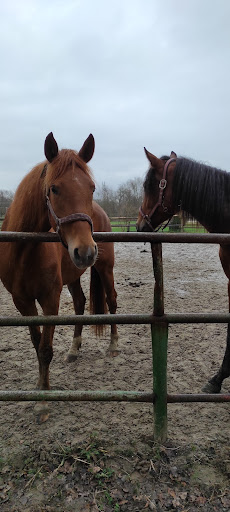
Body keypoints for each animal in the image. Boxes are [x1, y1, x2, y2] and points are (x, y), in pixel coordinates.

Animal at [0, 133, 117, 420]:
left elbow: (45, 349)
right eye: (54, 188)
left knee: (112, 300)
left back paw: (113, 346)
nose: (86, 251)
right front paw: (40, 385)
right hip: (73, 274)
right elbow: (36, 342)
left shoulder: (49, 299)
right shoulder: (22, 301)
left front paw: (43, 401)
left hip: (105, 268)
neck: (24, 250)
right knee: (80, 302)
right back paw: (74, 349)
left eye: (92, 188)